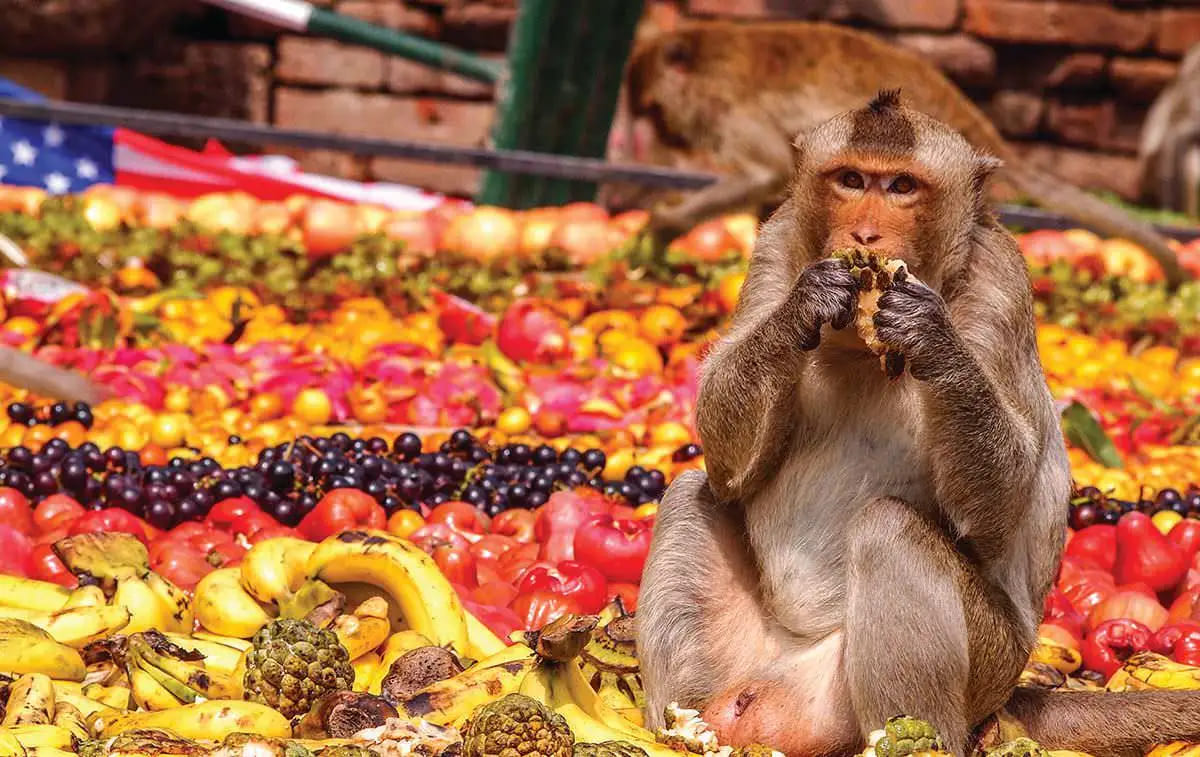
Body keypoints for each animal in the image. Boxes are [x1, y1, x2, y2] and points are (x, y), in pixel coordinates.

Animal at [636, 91, 1200, 757]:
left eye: (902, 186)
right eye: (852, 180)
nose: (865, 233)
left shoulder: (1000, 282)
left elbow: (998, 510)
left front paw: (929, 334)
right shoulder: (775, 244)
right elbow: (728, 469)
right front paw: (807, 302)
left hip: (982, 667)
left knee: (890, 531)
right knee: (690, 494)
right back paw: (681, 728)